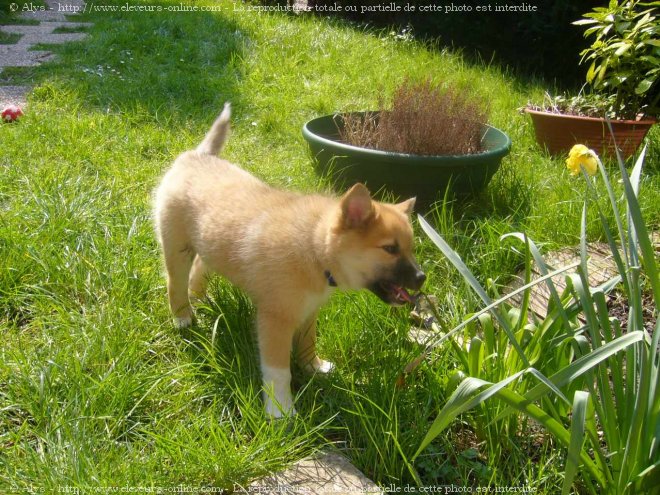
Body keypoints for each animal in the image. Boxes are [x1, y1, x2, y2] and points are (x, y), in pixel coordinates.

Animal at [153, 104, 426, 418]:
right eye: (390, 249)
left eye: (411, 249)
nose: (422, 278)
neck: (313, 248)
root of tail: (197, 156)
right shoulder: (276, 321)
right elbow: (279, 371)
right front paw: (280, 410)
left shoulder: (308, 311)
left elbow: (308, 344)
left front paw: (314, 368)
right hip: (177, 248)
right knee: (175, 283)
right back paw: (183, 316)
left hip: (209, 244)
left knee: (200, 269)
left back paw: (200, 299)